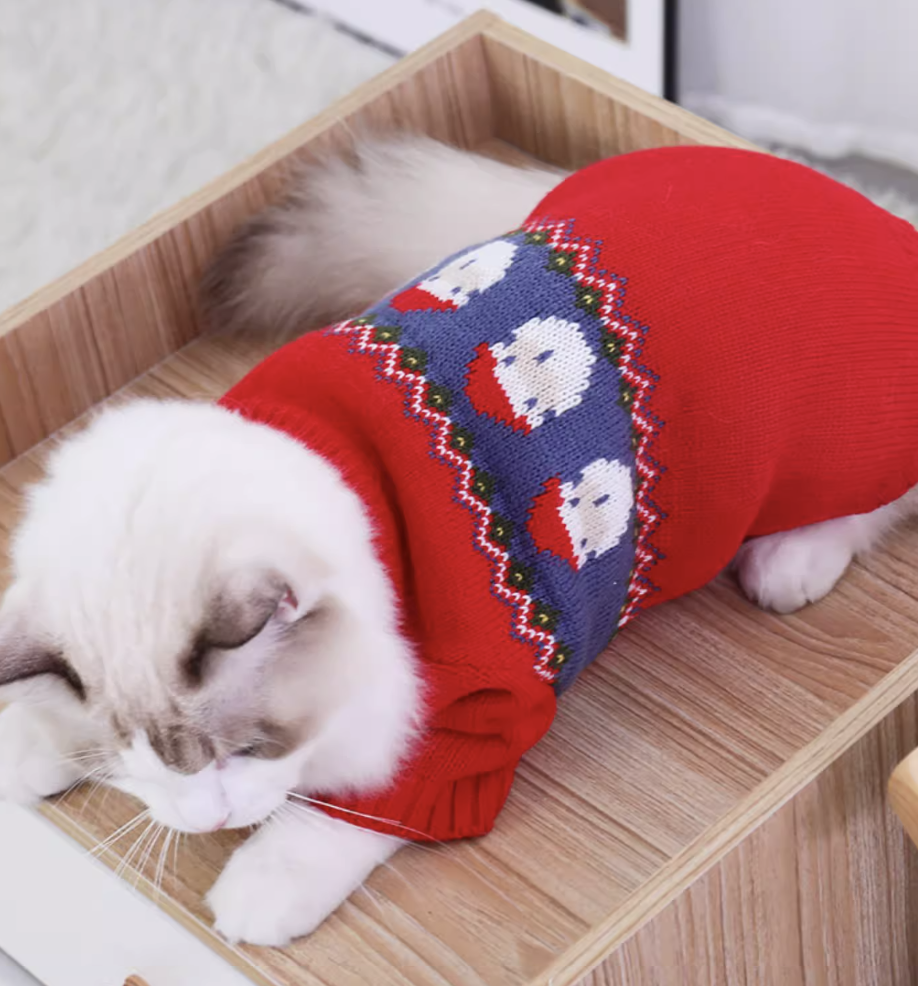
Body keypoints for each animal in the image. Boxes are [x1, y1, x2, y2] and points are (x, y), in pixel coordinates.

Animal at [1, 136, 916, 948]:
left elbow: (355, 813)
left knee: (880, 504)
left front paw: (266, 882)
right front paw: (30, 749)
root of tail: (880, 219)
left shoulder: (474, 711)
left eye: (249, 751)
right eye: (130, 769)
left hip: (832, 450)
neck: (352, 463)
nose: (204, 819)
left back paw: (791, 557)